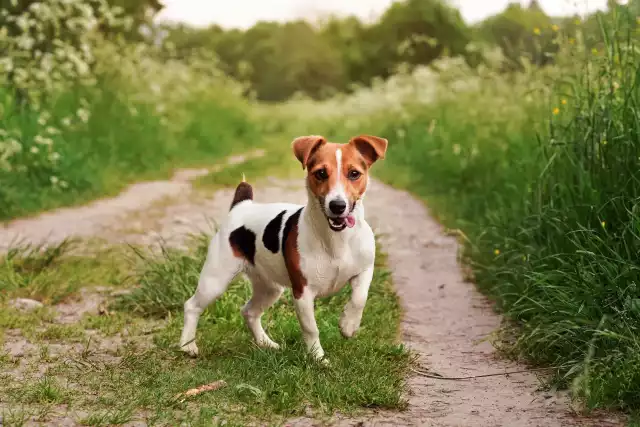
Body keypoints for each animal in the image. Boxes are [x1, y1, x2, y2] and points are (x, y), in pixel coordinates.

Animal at [180, 135, 390, 362]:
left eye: (354, 174)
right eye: (321, 173)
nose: (337, 205)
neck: (336, 238)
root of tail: (241, 205)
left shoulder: (365, 270)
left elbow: (360, 298)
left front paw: (348, 325)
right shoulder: (302, 292)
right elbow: (311, 328)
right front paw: (318, 358)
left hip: (270, 288)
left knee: (249, 312)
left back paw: (265, 343)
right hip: (216, 280)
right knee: (192, 306)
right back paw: (187, 346)